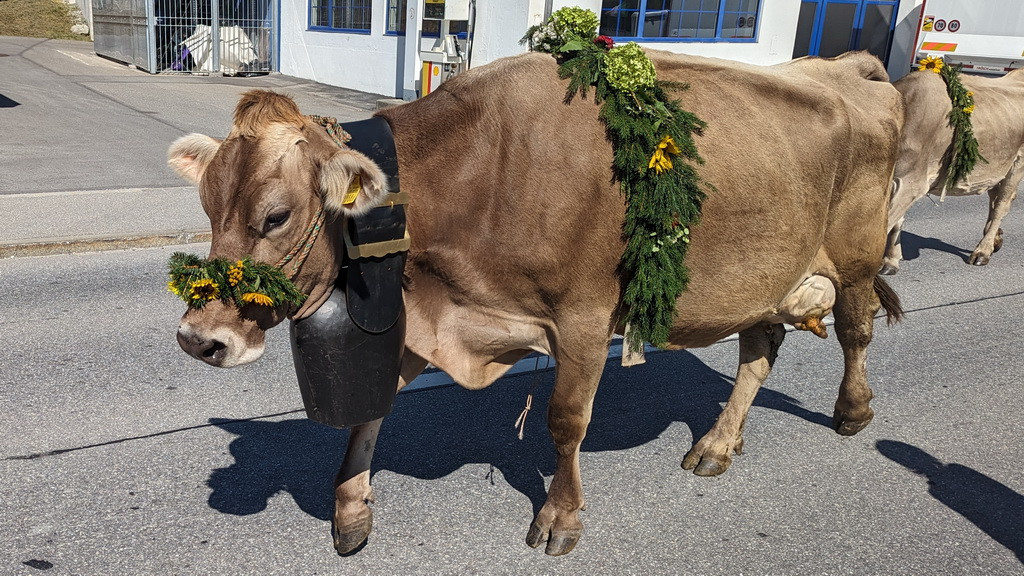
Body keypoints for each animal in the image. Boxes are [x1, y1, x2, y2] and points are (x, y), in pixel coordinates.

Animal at [165, 50, 905, 557]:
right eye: (206, 205)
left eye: (276, 216)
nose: (200, 337)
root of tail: (845, 67)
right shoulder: (432, 318)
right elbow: (370, 413)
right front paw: (350, 510)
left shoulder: (583, 317)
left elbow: (565, 422)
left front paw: (560, 517)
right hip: (762, 276)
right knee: (760, 349)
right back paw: (719, 444)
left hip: (857, 254)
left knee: (856, 330)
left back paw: (853, 410)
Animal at [880, 67, 1024, 272]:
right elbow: (896, 222)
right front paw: (891, 261)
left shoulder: (911, 182)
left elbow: (888, 223)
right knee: (995, 198)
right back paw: (995, 239)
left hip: (1017, 165)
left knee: (1002, 204)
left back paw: (983, 251)